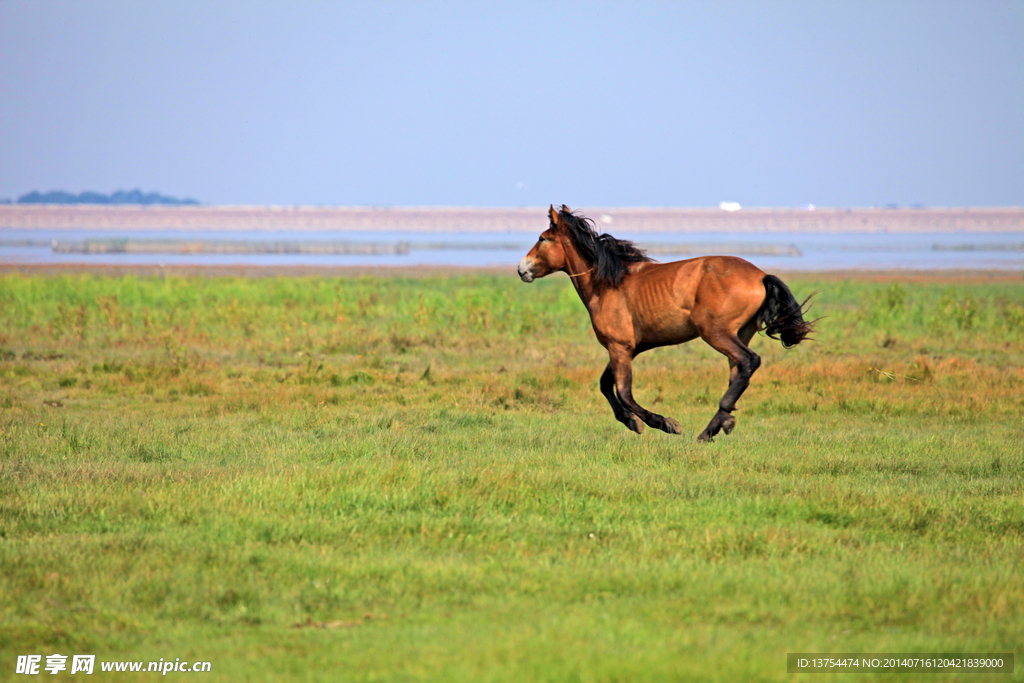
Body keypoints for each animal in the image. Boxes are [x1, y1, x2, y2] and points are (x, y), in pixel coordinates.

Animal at [520, 205, 815, 444]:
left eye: (542, 239)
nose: (522, 269)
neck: (607, 283)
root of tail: (760, 276)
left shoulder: (620, 347)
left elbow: (623, 392)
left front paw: (664, 424)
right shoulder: (626, 349)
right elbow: (606, 385)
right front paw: (630, 421)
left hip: (716, 333)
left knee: (749, 361)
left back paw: (711, 427)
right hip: (741, 333)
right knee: (738, 370)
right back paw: (719, 424)